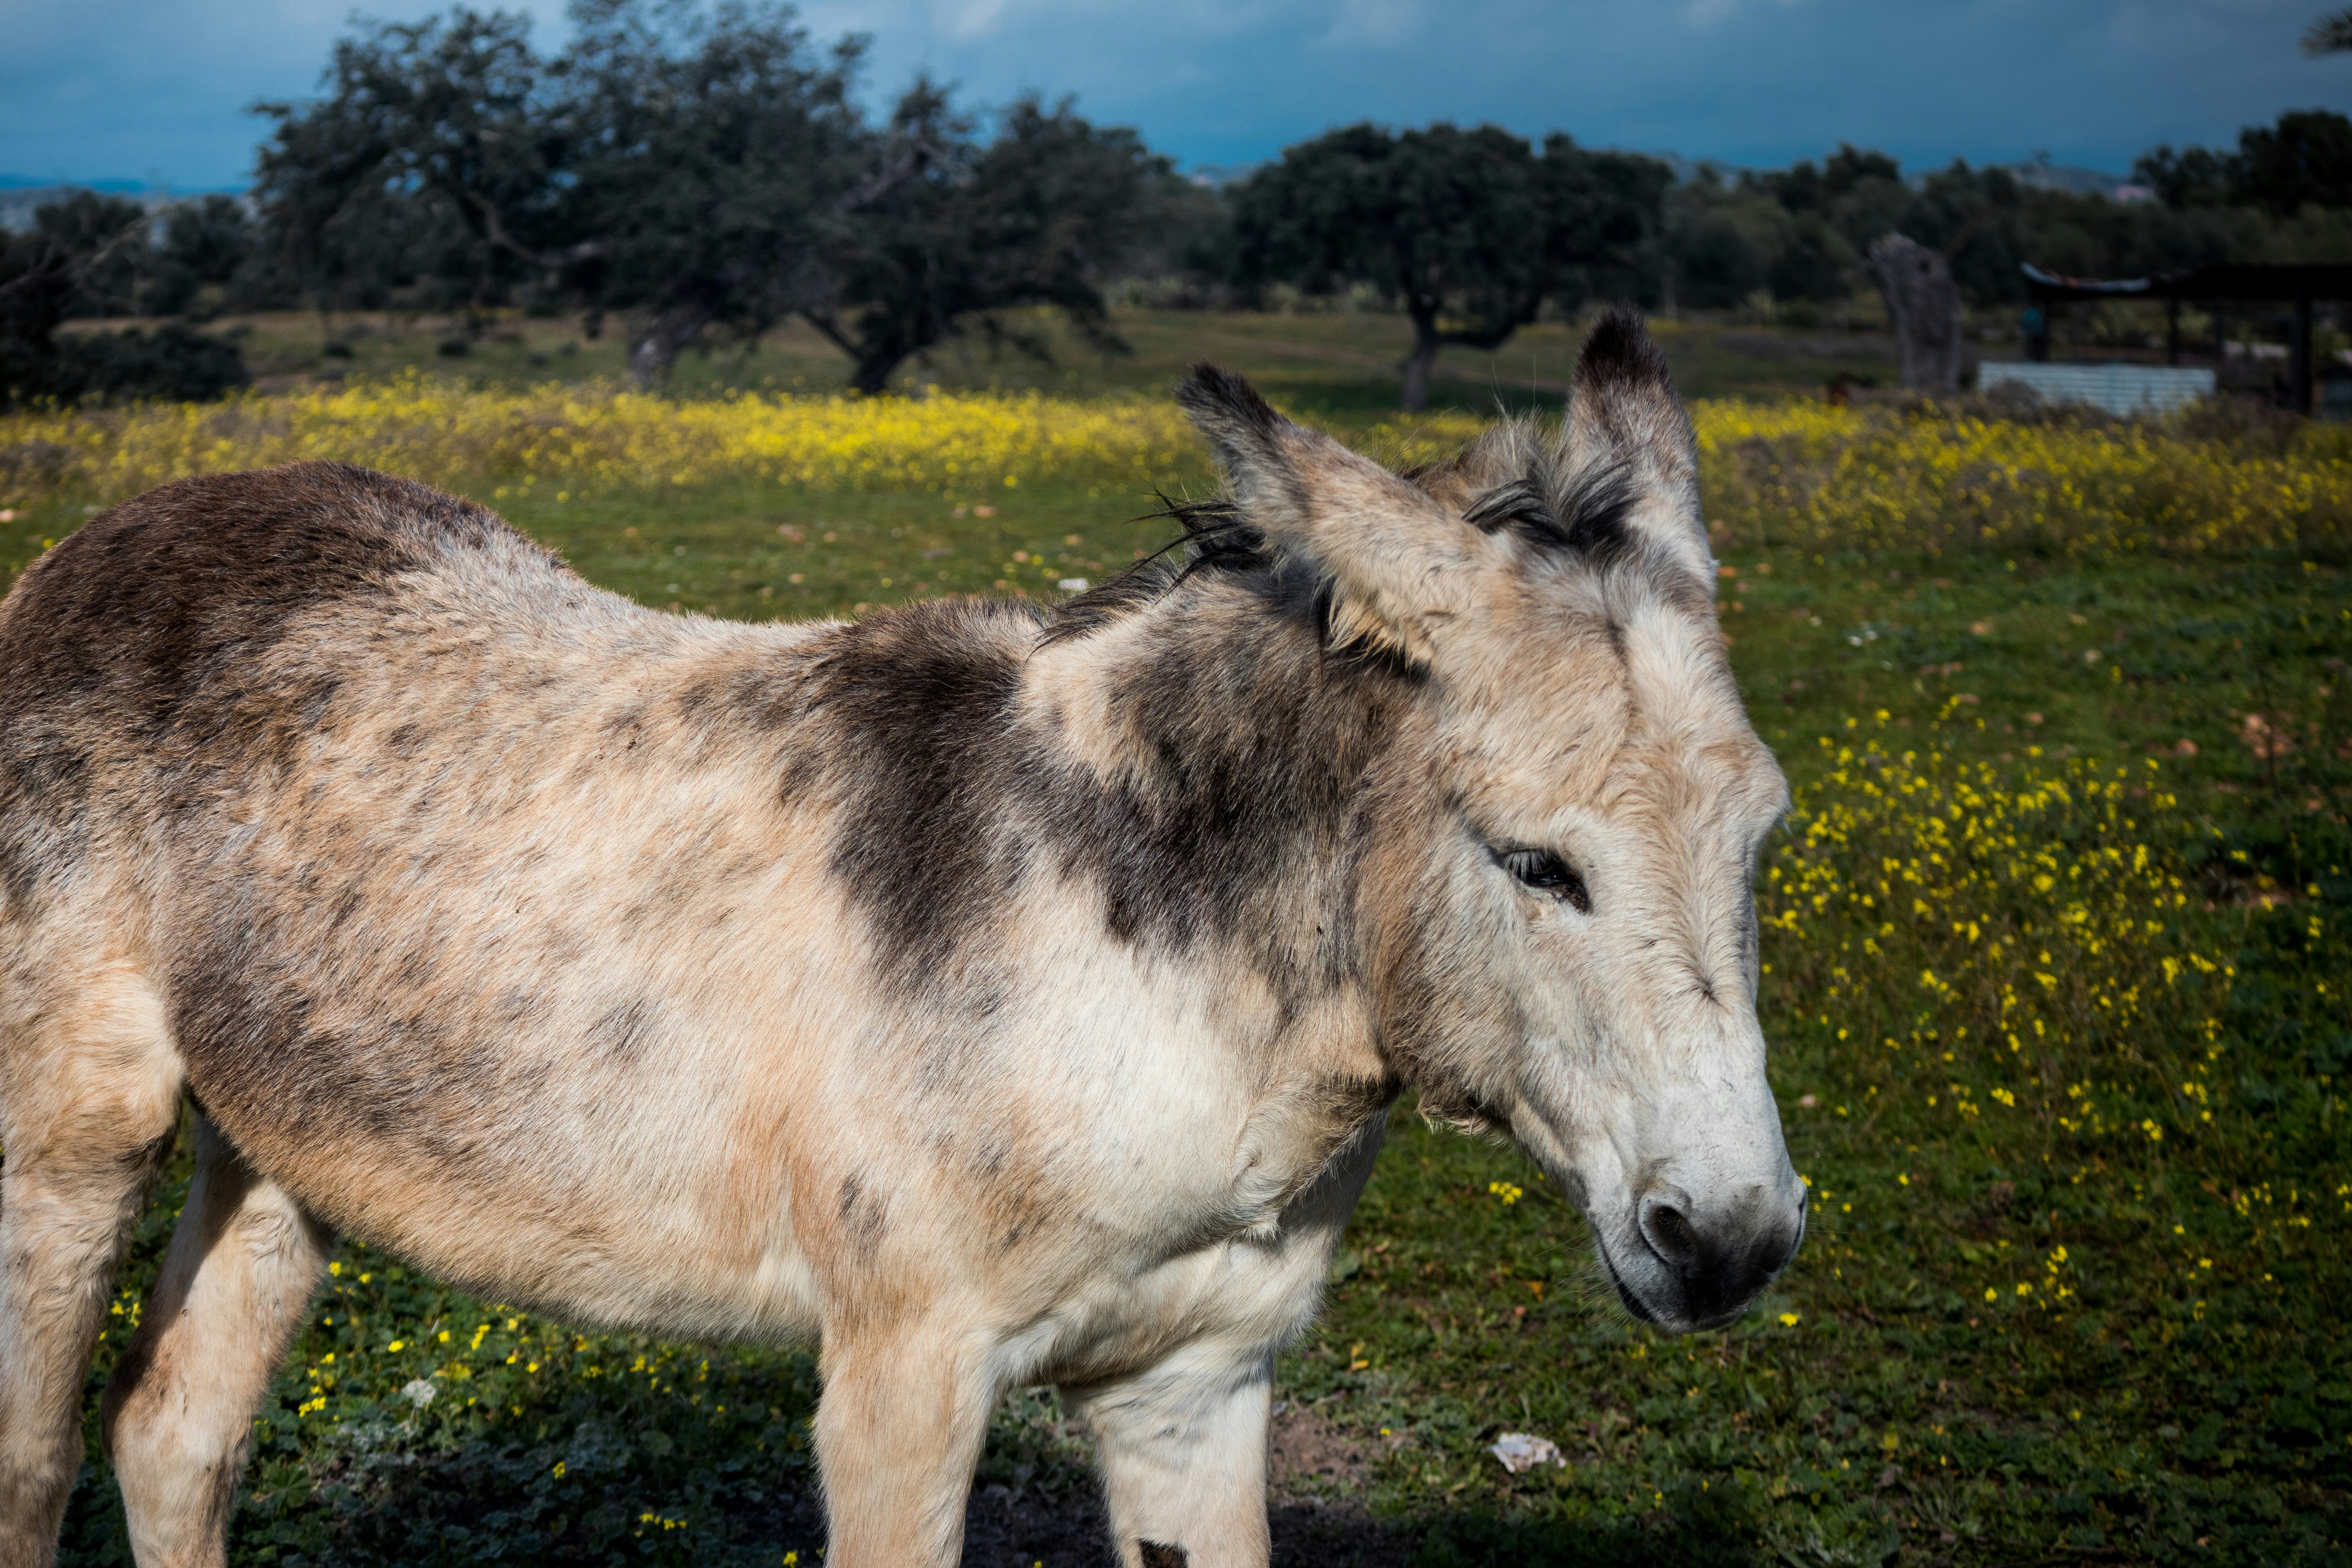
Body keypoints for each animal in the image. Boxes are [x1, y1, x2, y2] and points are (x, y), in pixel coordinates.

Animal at [0, 309, 1801, 1568]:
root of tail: (100, 542)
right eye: (1538, 863)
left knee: (173, 1435)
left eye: (1762, 842)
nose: (1730, 1240)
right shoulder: (900, 1376)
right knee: (37, 1462)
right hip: (71, 1141)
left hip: (283, 1136)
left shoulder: (1198, 1384)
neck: (1154, 958)